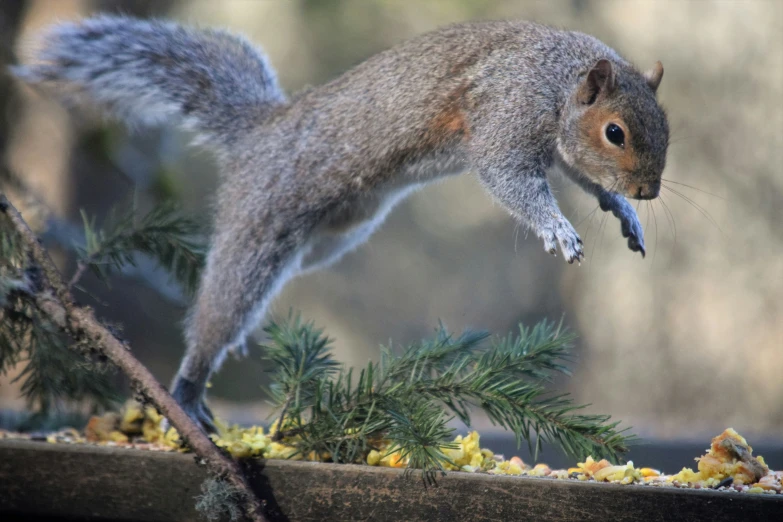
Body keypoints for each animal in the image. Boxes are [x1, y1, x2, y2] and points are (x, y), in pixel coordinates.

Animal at [12, 16, 668, 430]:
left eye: (665, 127)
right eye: (615, 132)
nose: (648, 190)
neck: (559, 80)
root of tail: (263, 133)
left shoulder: (557, 145)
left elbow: (583, 180)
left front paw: (624, 213)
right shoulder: (506, 110)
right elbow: (510, 177)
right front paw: (557, 228)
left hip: (339, 231)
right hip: (261, 222)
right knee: (222, 299)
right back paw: (191, 386)